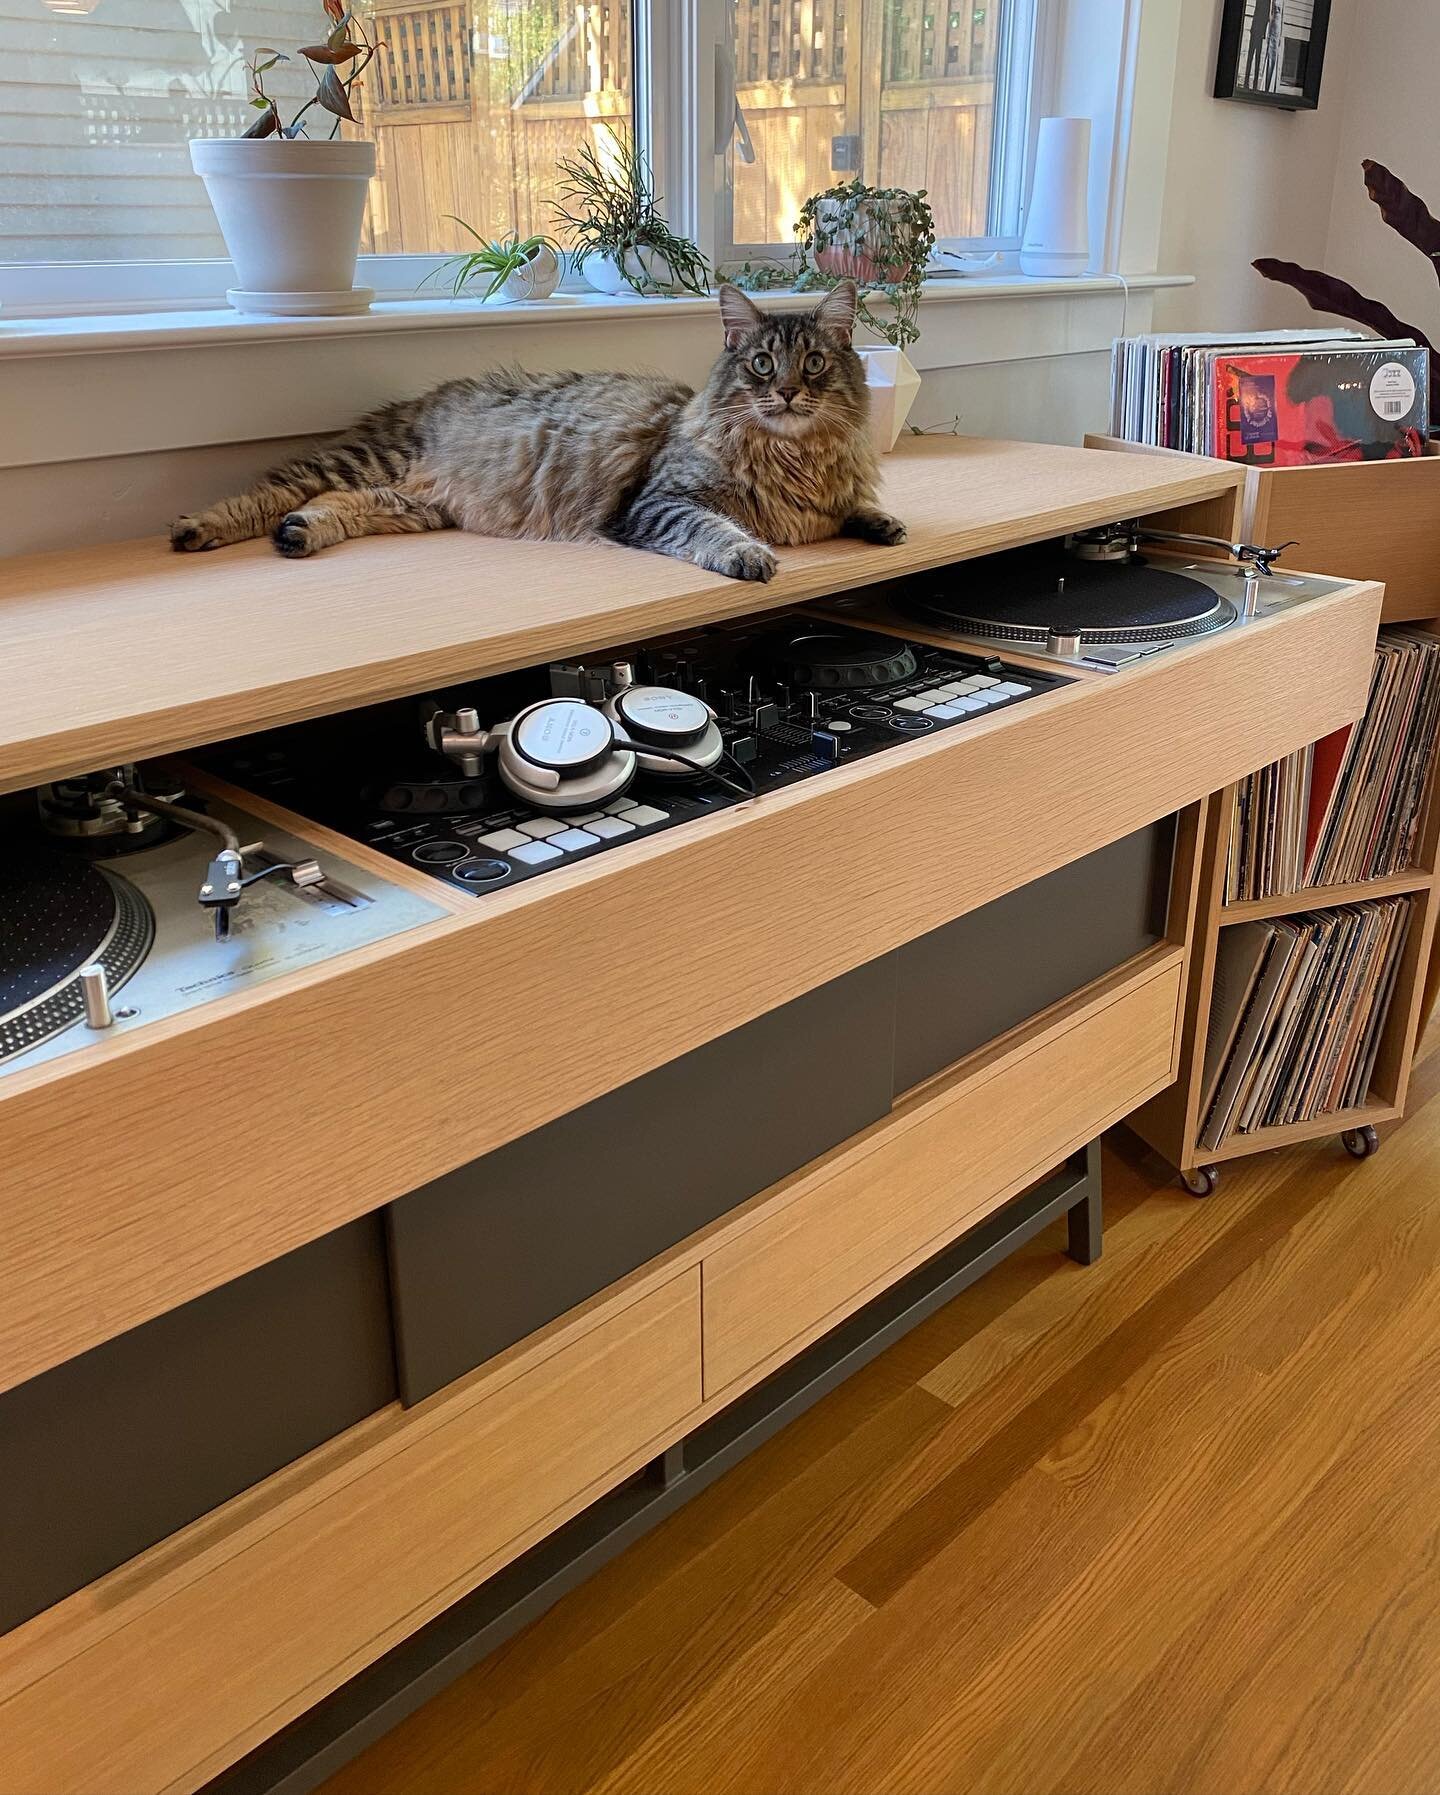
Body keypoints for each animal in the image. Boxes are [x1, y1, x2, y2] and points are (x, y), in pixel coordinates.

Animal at [171, 276, 897, 581]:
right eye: (761, 364)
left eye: (814, 363)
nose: (789, 391)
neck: (795, 458)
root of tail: (421, 397)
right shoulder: (655, 503)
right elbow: (716, 528)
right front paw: (750, 553)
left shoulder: (828, 499)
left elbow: (851, 510)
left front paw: (881, 523)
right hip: (368, 463)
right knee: (272, 491)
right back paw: (199, 529)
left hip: (413, 504)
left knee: (333, 504)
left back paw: (299, 534)